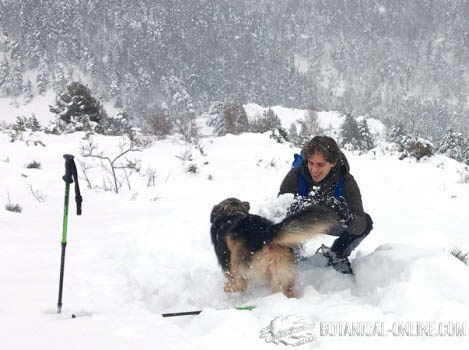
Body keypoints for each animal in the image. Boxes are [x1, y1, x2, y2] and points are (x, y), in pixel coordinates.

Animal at [210, 198, 338, 296]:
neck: (232, 212)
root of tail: (267, 233)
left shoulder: (227, 265)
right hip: (283, 271)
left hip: (238, 263)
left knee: (241, 285)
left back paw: (228, 288)